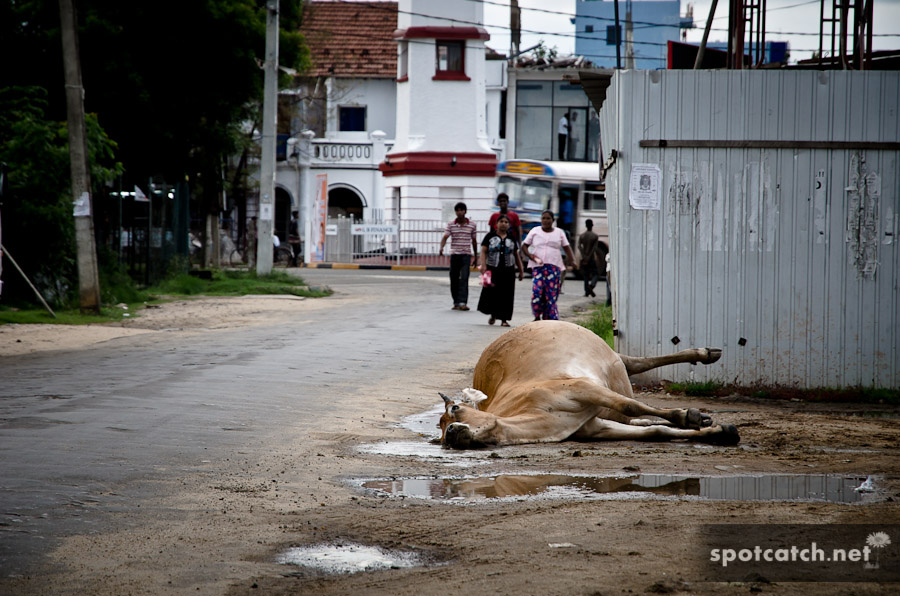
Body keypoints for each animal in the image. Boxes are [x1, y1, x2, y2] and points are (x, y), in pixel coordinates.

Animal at [440, 318, 740, 450]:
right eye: (440, 431)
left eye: (454, 409)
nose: (451, 434)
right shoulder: (595, 427)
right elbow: (656, 431)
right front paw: (719, 431)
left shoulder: (581, 387)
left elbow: (631, 405)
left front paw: (691, 416)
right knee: (635, 395)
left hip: (611, 361)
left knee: (636, 364)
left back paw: (706, 354)